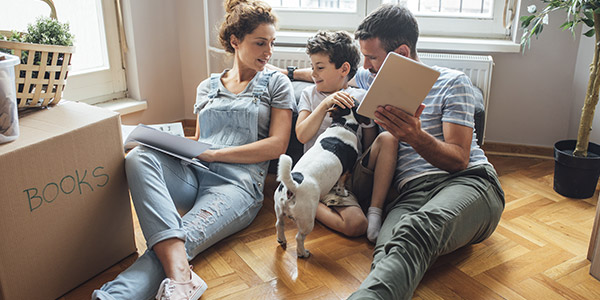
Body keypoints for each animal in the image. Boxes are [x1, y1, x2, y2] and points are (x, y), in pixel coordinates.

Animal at [274, 101, 368, 258]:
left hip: (279, 209)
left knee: (279, 225)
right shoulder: (348, 170)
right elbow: (341, 184)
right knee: (299, 237)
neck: (344, 124)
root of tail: (293, 187)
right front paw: (342, 192)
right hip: (307, 220)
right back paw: (303, 253)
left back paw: (282, 240)